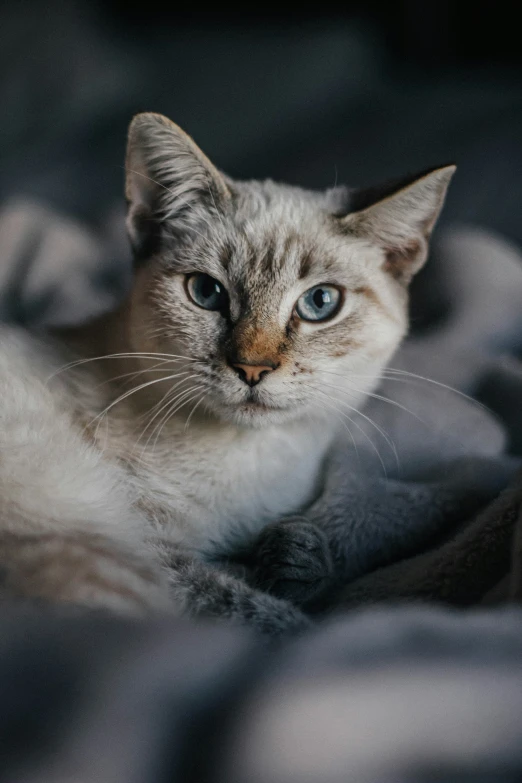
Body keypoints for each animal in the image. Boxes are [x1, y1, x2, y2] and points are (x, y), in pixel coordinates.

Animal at [0, 112, 450, 636]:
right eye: (207, 292)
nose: (253, 367)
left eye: (320, 303)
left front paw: (297, 557)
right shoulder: (156, 553)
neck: (256, 466)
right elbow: (246, 604)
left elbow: (319, 538)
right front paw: (297, 608)